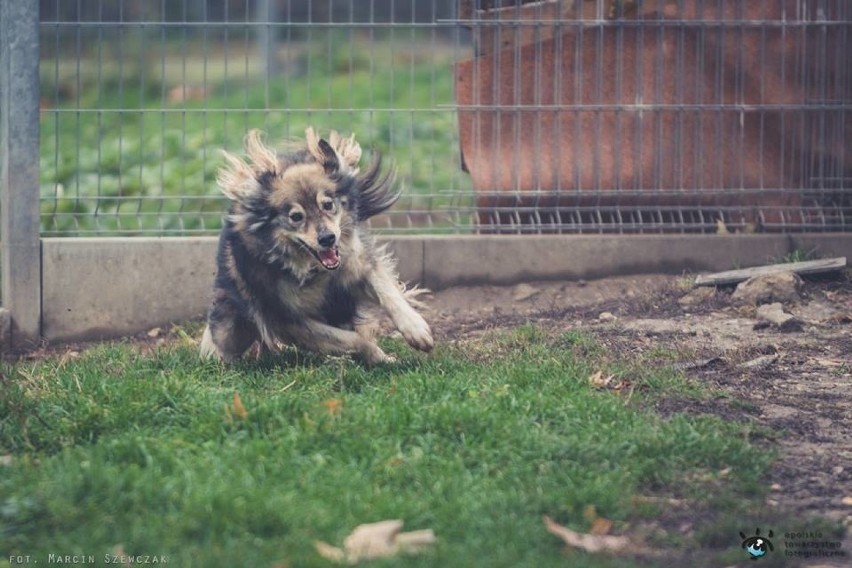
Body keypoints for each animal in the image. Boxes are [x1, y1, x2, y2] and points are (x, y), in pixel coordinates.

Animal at [200, 129, 432, 364]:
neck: (316, 270)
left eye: (328, 205)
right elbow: (352, 340)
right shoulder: (289, 320)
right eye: (296, 217)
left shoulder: (359, 264)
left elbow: (388, 293)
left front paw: (416, 330)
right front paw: (378, 357)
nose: (327, 238)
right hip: (231, 328)